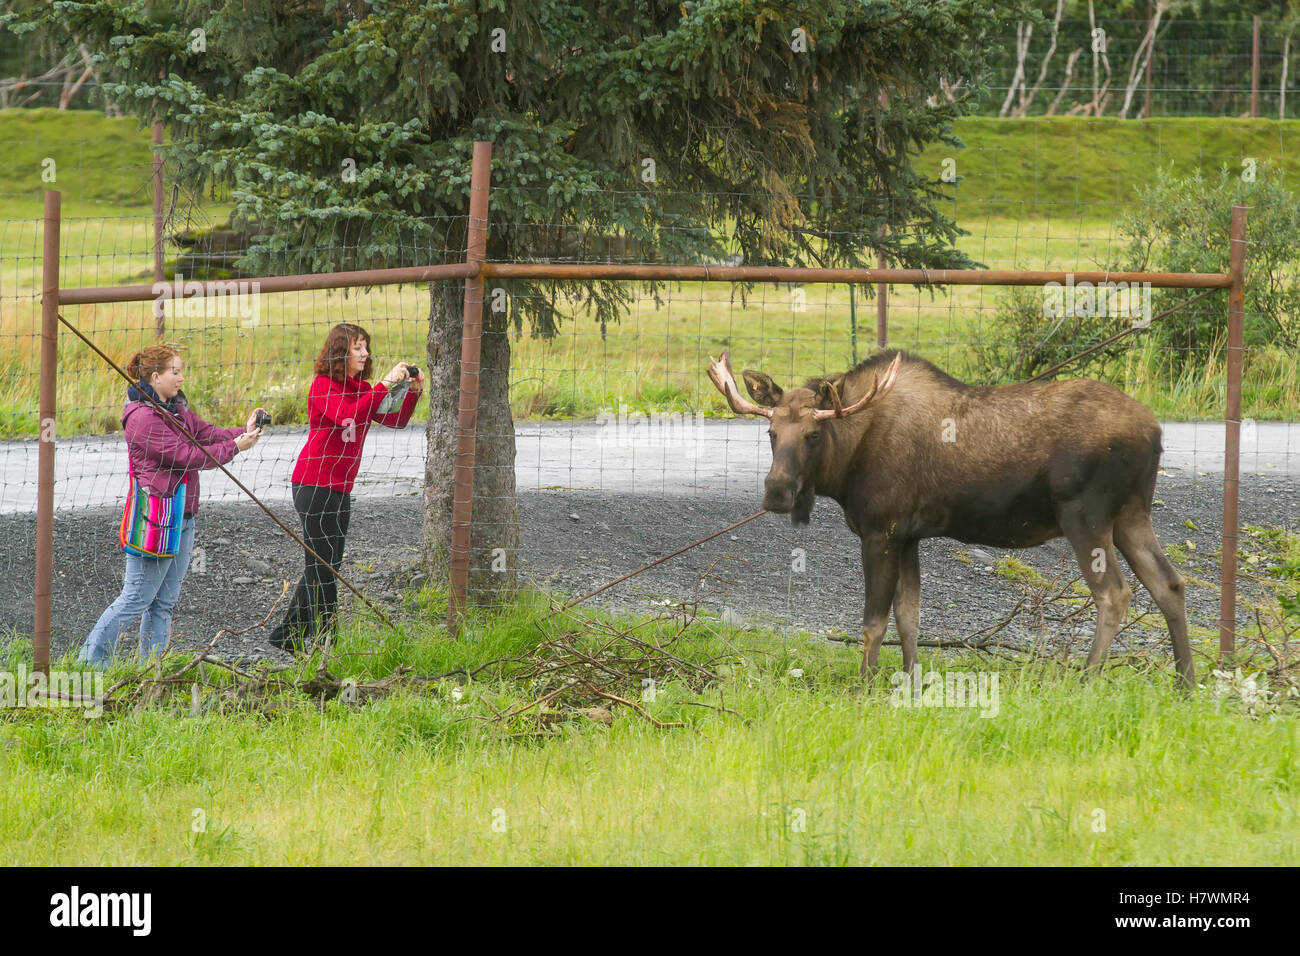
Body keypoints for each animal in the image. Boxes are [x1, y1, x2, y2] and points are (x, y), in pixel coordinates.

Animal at [706, 348, 1194, 689]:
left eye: (812, 434)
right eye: (771, 432)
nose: (776, 493)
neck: (845, 464)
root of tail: (1156, 432)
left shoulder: (881, 531)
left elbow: (873, 621)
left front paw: (864, 688)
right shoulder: (909, 535)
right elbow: (910, 616)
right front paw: (912, 685)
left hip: (1086, 516)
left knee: (1115, 592)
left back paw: (1087, 683)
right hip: (1131, 514)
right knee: (1169, 583)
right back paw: (1185, 685)